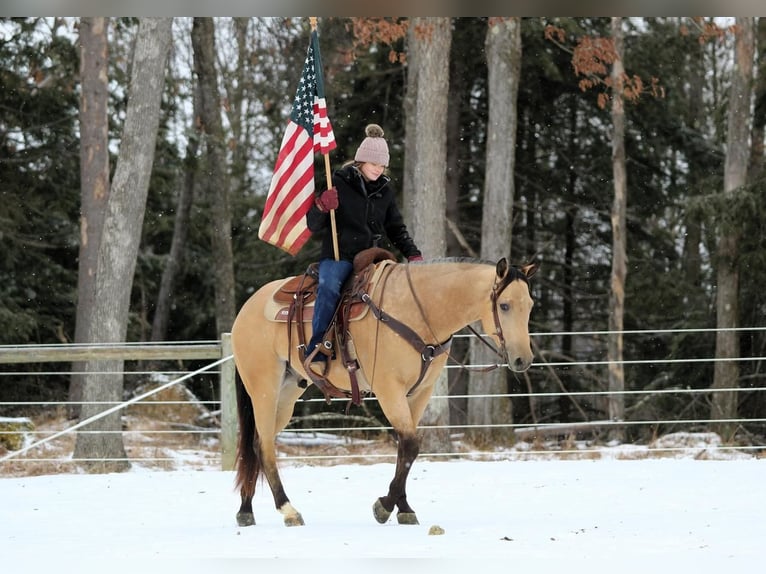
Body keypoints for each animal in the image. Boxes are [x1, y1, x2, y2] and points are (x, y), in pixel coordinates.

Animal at [234, 254, 540, 528]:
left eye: (530, 305)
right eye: (504, 305)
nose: (523, 360)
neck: (418, 312)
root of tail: (245, 309)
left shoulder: (420, 393)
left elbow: (406, 448)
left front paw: (403, 508)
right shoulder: (388, 389)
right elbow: (411, 444)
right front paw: (383, 506)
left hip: (287, 394)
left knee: (256, 444)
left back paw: (246, 510)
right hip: (264, 389)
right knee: (265, 445)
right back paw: (288, 510)